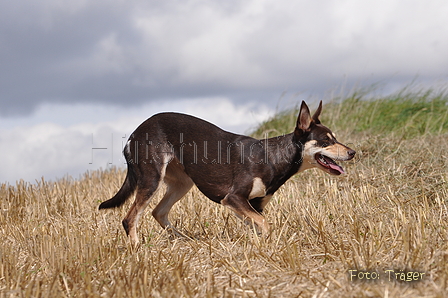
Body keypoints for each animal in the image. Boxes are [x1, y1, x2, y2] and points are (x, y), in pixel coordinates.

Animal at [100, 100, 356, 244]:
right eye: (325, 141)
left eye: (335, 138)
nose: (352, 152)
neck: (273, 157)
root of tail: (135, 133)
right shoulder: (233, 198)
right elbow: (265, 225)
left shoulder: (252, 205)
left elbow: (258, 225)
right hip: (152, 179)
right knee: (130, 218)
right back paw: (138, 249)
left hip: (182, 183)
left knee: (158, 212)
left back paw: (185, 241)